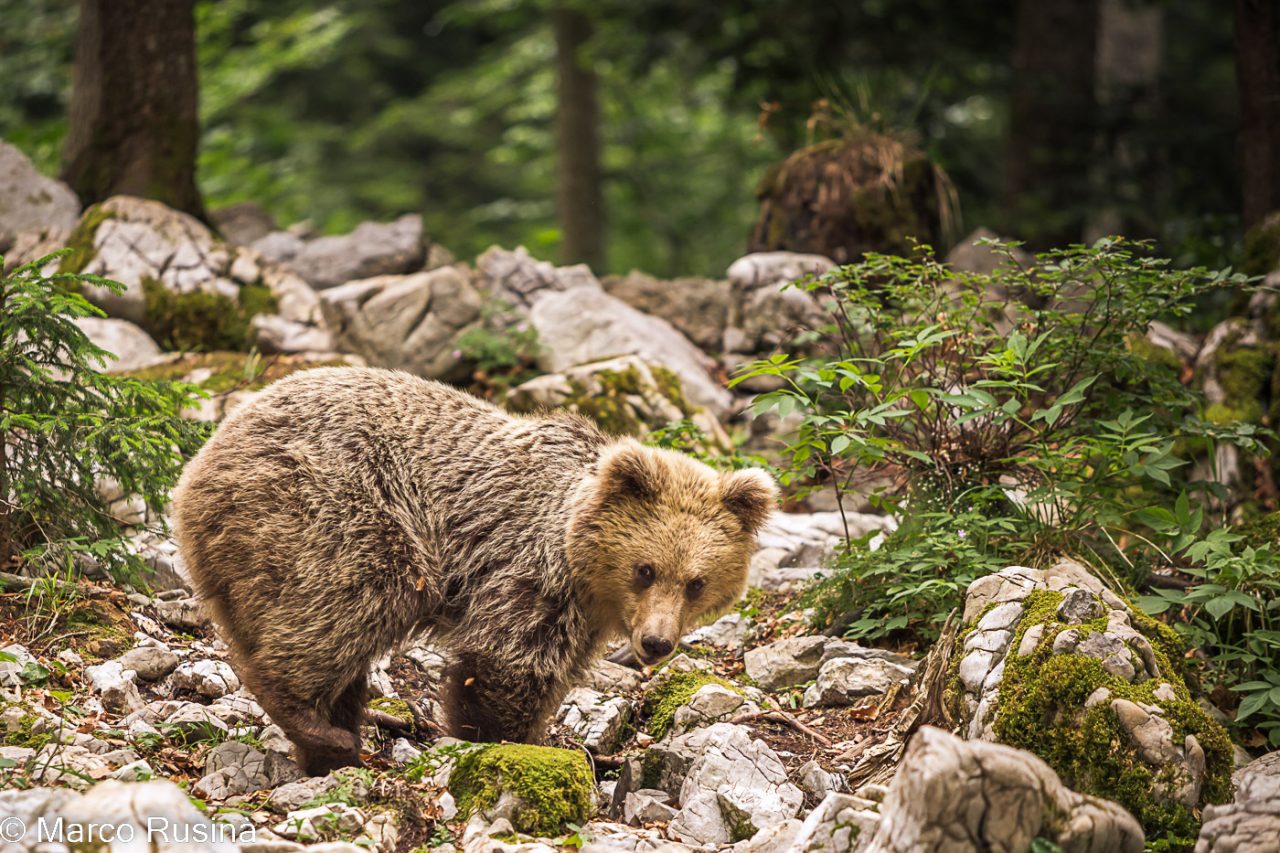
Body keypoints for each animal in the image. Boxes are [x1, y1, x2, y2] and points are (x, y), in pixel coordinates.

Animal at [174, 366, 773, 768]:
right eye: (645, 569)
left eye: (696, 583)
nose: (655, 642)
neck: (587, 576)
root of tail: (198, 468)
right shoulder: (530, 570)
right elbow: (507, 663)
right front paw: (506, 739)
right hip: (337, 507)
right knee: (349, 602)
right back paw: (317, 725)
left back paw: (331, 740)